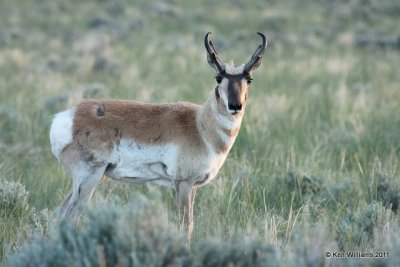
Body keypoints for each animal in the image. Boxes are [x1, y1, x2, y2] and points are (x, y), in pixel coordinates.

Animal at [50, 32, 266, 240]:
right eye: (218, 78)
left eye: (249, 79)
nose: (235, 105)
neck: (200, 125)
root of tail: (69, 115)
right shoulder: (183, 183)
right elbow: (185, 227)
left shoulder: (193, 187)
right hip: (89, 179)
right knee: (69, 215)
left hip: (95, 178)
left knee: (60, 213)